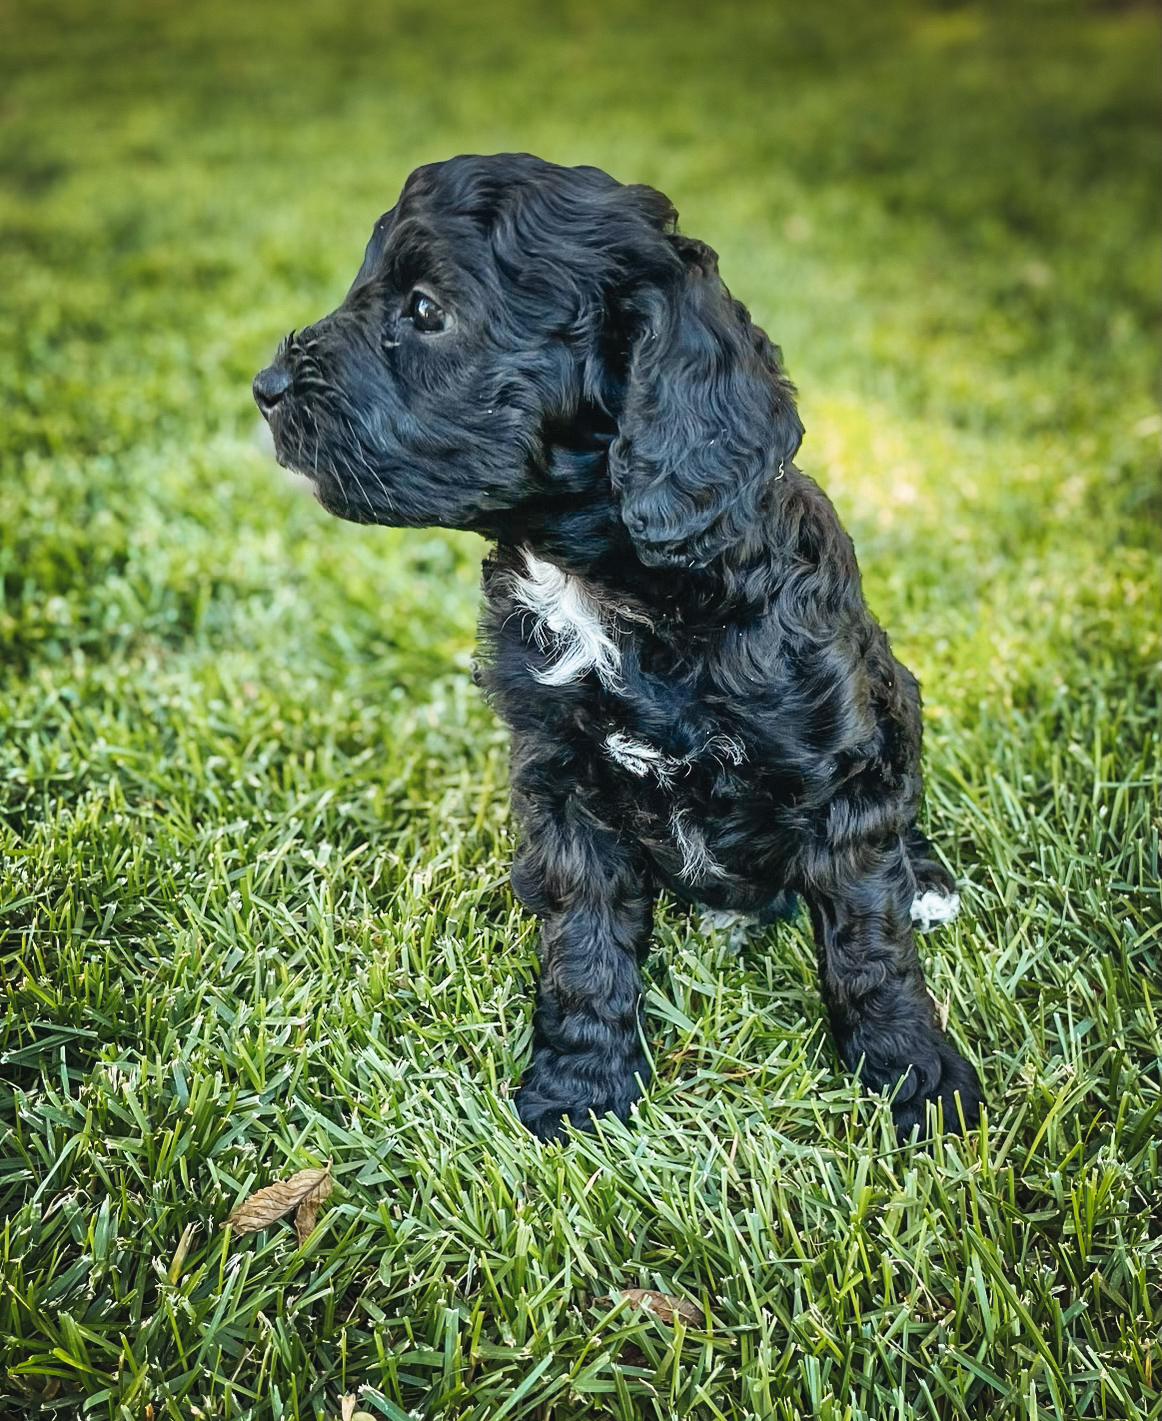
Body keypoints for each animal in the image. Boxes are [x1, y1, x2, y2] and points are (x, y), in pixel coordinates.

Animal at [251, 149, 977, 1136]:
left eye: (427, 310)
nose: (264, 389)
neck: (613, 589)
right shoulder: (562, 777)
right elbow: (585, 941)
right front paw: (580, 1086)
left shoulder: (837, 767)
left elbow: (870, 939)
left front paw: (914, 1072)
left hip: (895, 692)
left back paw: (925, 876)